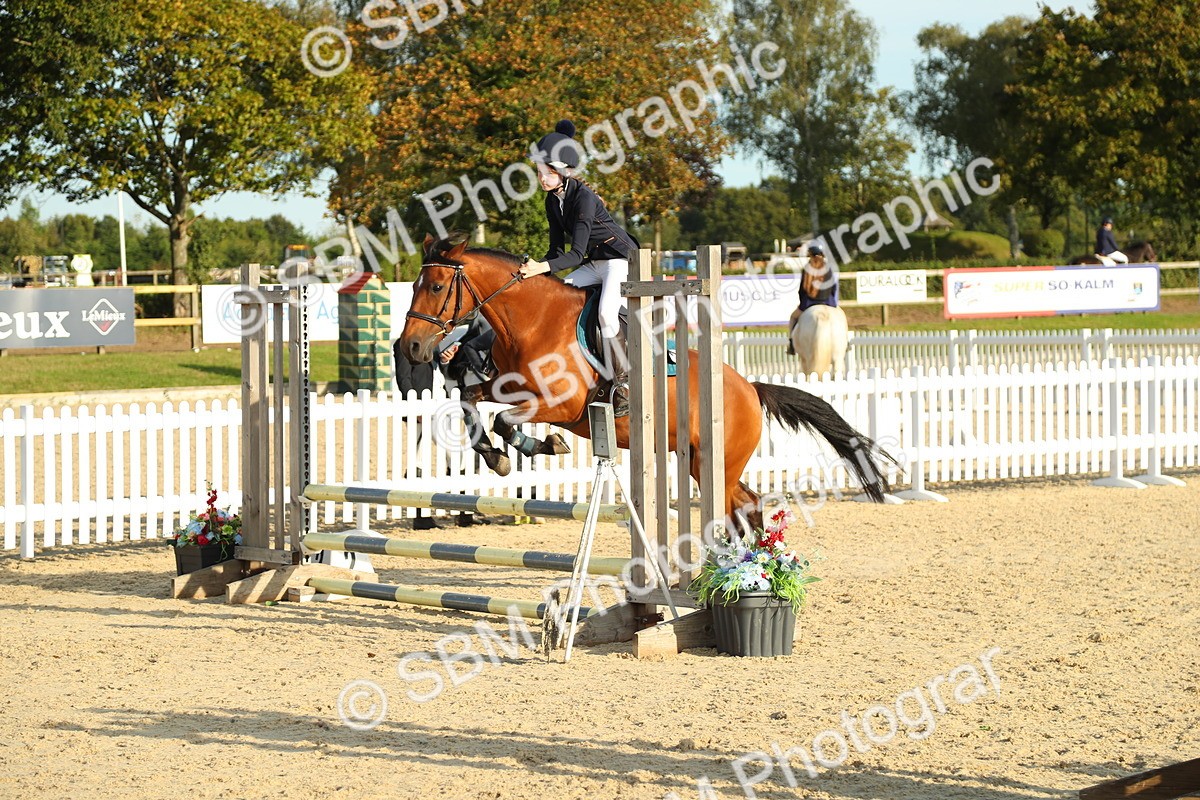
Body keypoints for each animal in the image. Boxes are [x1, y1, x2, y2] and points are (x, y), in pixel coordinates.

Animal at [398, 234, 895, 530]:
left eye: (437, 287)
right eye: (415, 285)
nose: (412, 348)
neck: (532, 320)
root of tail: (751, 389)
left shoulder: (564, 406)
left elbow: (504, 421)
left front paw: (541, 446)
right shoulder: (504, 386)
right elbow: (470, 401)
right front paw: (497, 459)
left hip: (715, 461)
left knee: (738, 507)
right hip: (701, 463)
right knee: (747, 505)